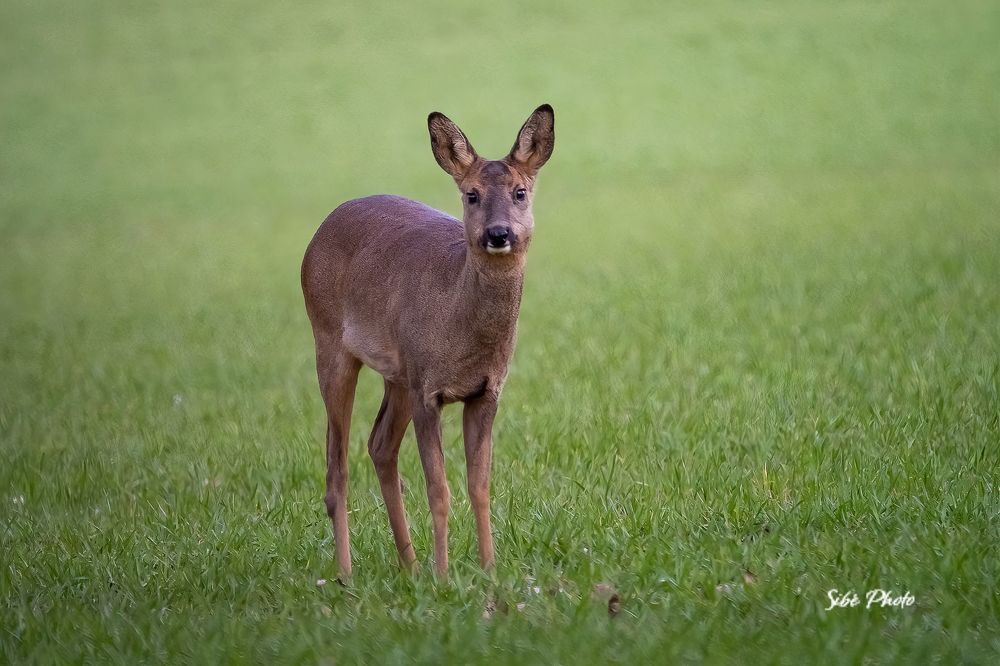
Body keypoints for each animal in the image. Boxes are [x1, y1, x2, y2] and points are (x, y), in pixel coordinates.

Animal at [301, 104, 555, 579]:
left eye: (520, 192)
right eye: (471, 194)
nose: (498, 234)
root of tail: (322, 227)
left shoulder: (486, 391)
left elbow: (480, 485)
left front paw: (488, 570)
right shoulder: (427, 390)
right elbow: (439, 490)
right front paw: (445, 575)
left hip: (398, 373)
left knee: (379, 446)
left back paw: (410, 566)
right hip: (330, 343)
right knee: (336, 467)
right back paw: (346, 574)